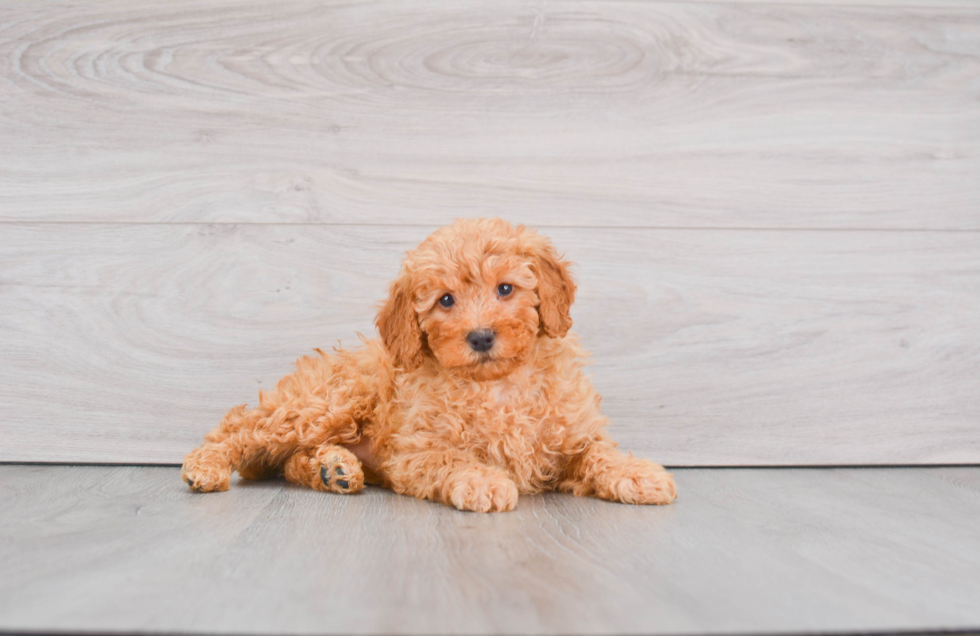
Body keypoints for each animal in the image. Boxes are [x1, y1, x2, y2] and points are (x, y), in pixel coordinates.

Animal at [180, 219, 672, 512]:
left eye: (506, 289)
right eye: (446, 300)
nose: (481, 336)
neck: (497, 384)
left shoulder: (571, 438)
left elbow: (597, 453)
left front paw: (638, 473)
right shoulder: (416, 451)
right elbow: (451, 459)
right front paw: (483, 482)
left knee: (283, 462)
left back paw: (332, 470)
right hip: (328, 402)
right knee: (242, 431)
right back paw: (206, 465)